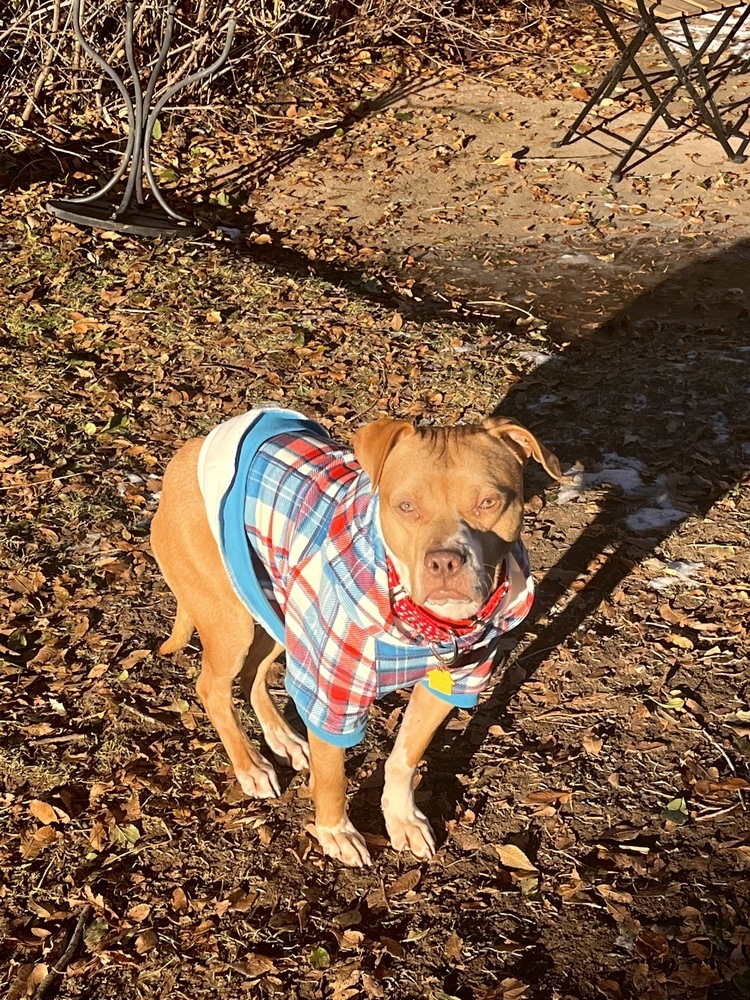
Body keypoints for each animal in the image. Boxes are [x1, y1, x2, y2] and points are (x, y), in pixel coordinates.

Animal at [150, 410, 560, 864]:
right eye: (406, 506)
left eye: (488, 502)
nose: (444, 561)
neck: (427, 624)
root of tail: (184, 457)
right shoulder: (333, 697)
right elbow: (333, 777)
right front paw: (336, 833)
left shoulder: (450, 685)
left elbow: (404, 760)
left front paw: (402, 819)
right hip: (231, 624)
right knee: (213, 687)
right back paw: (251, 766)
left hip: (278, 608)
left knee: (251, 675)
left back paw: (283, 740)